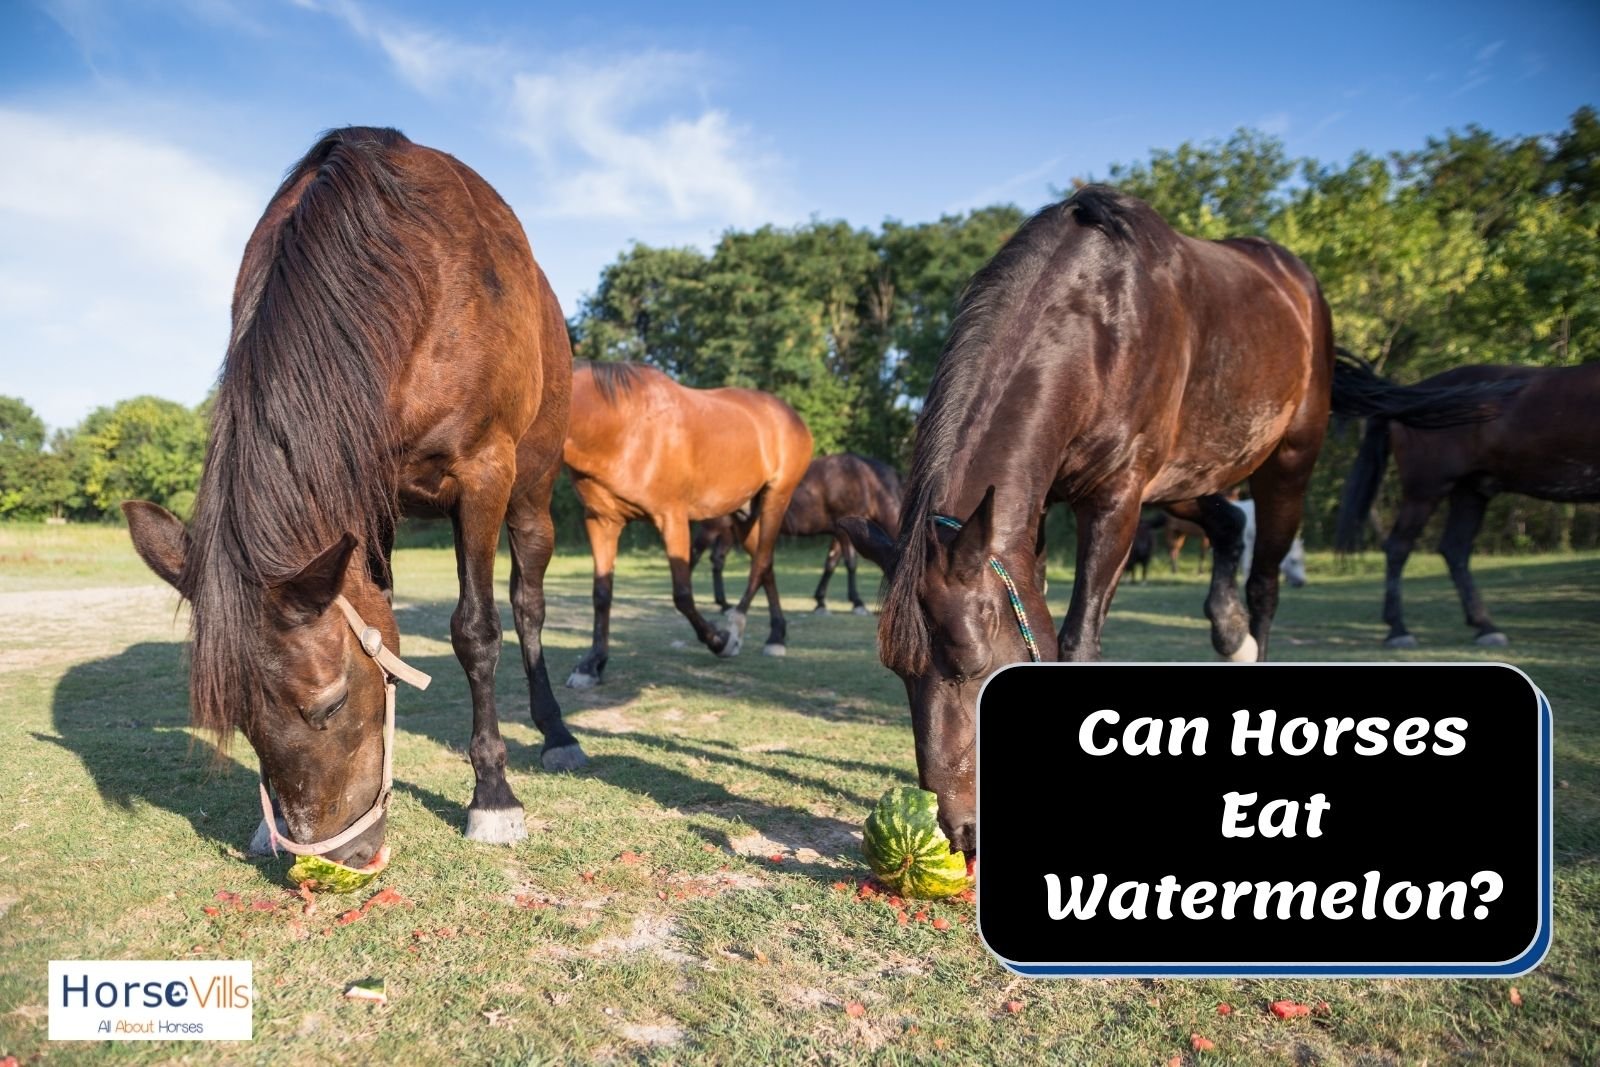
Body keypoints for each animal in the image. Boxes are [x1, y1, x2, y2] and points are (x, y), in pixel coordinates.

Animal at [122, 127, 581, 870]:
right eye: (241, 721)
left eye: (330, 705)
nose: (339, 855)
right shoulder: (366, 495)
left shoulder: (483, 473)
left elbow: (477, 630)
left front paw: (492, 796)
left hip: (531, 492)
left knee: (527, 604)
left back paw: (557, 733)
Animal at [563, 362, 814, 685]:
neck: (622, 425)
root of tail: (791, 416)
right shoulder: (602, 522)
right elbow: (601, 595)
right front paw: (592, 664)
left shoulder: (672, 519)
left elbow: (682, 595)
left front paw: (719, 641)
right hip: (744, 516)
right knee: (766, 564)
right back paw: (776, 636)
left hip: (776, 498)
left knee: (760, 563)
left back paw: (736, 629)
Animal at [690, 453, 903, 615]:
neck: (865, 480)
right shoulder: (845, 532)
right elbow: (850, 563)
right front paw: (857, 602)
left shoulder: (839, 532)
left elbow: (831, 563)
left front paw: (820, 601)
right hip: (712, 529)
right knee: (694, 555)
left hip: (729, 531)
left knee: (717, 560)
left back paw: (724, 604)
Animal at [838, 187, 1508, 854]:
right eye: (898, 673)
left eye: (973, 667)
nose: (961, 832)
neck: (1094, 324)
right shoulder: (1048, 506)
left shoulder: (1116, 501)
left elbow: (1079, 639)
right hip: (1188, 479)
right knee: (1230, 527)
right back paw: (1230, 633)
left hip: (1285, 467)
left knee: (1265, 583)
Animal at [1335, 360, 1600, 647]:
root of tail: (1404, 399)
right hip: (1425, 491)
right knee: (1399, 548)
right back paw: (1399, 630)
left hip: (1470, 492)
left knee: (1455, 549)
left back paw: (1485, 627)